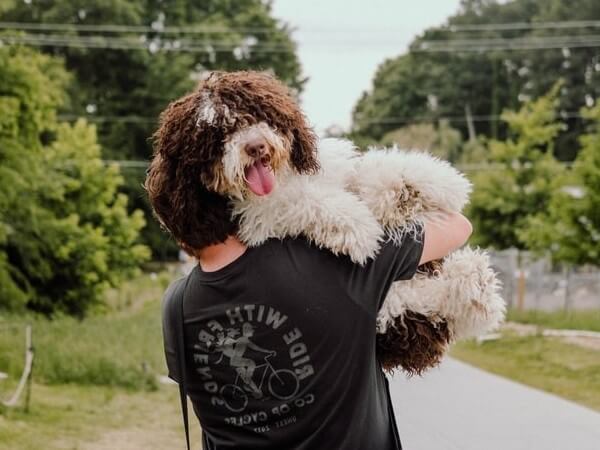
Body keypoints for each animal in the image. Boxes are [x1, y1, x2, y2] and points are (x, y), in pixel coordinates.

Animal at [146, 70, 506, 376]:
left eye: (255, 115)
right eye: (216, 136)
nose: (255, 146)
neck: (283, 179)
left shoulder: (335, 172)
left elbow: (368, 174)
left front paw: (426, 183)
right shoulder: (256, 218)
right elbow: (303, 202)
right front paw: (357, 226)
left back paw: (475, 282)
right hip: (395, 307)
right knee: (421, 304)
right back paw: (475, 287)